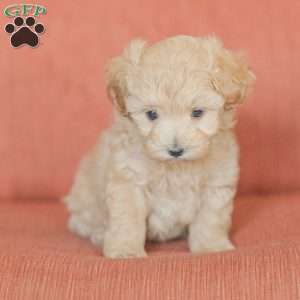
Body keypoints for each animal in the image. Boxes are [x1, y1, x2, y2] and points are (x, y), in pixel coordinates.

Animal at [63, 35, 255, 258]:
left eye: (197, 112)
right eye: (152, 114)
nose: (175, 150)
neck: (176, 168)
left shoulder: (216, 184)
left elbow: (210, 220)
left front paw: (211, 247)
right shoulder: (129, 181)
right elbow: (127, 220)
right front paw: (126, 251)